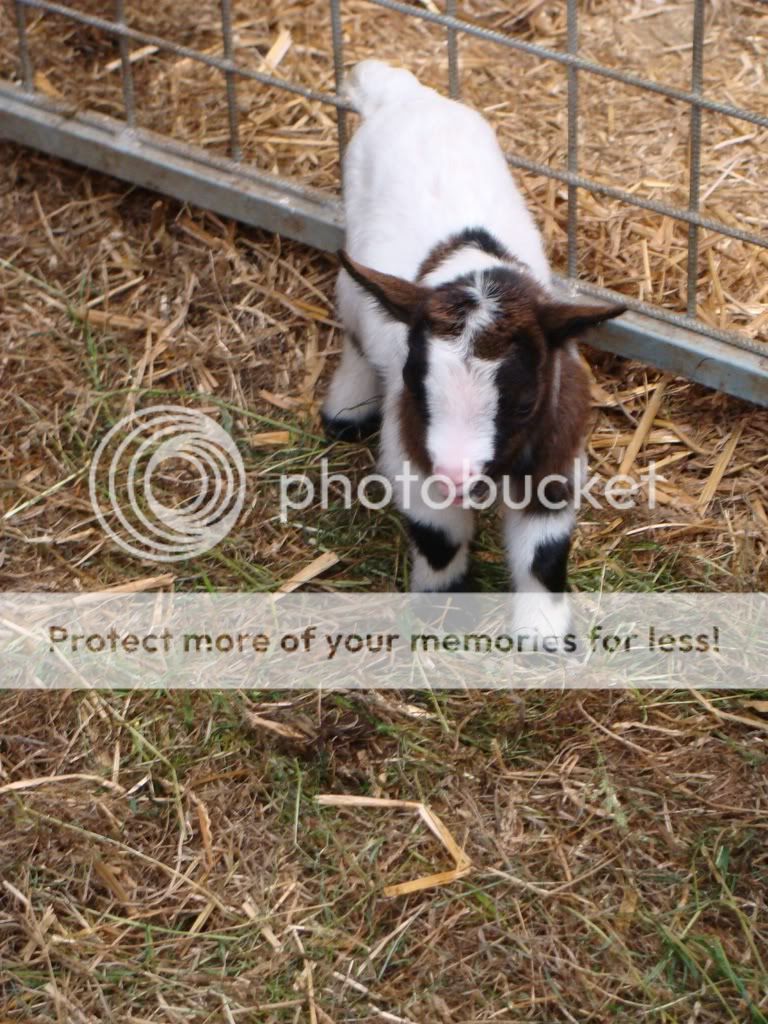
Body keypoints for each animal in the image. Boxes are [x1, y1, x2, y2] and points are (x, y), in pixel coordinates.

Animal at [319, 59, 626, 634]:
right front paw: (445, 614)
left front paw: (543, 636)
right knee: (353, 323)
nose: (458, 477)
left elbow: (544, 553)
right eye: (416, 387)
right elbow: (439, 539)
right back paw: (346, 409)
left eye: (525, 403)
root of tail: (401, 94)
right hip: (355, 272)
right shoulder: (414, 459)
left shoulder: (555, 459)